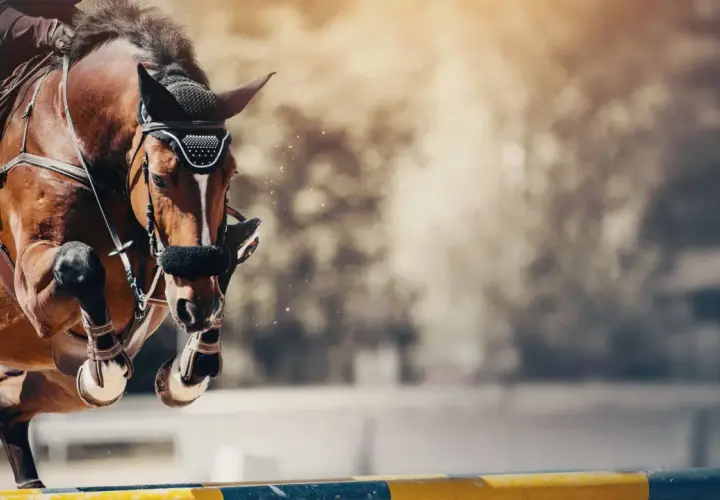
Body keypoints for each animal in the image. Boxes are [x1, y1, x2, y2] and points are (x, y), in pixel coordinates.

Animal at [0, 0, 273, 489]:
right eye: (161, 178)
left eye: (231, 176)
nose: (197, 308)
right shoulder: (32, 288)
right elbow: (81, 261)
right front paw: (105, 368)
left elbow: (226, 257)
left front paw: (189, 372)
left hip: (50, 383)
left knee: (9, 412)